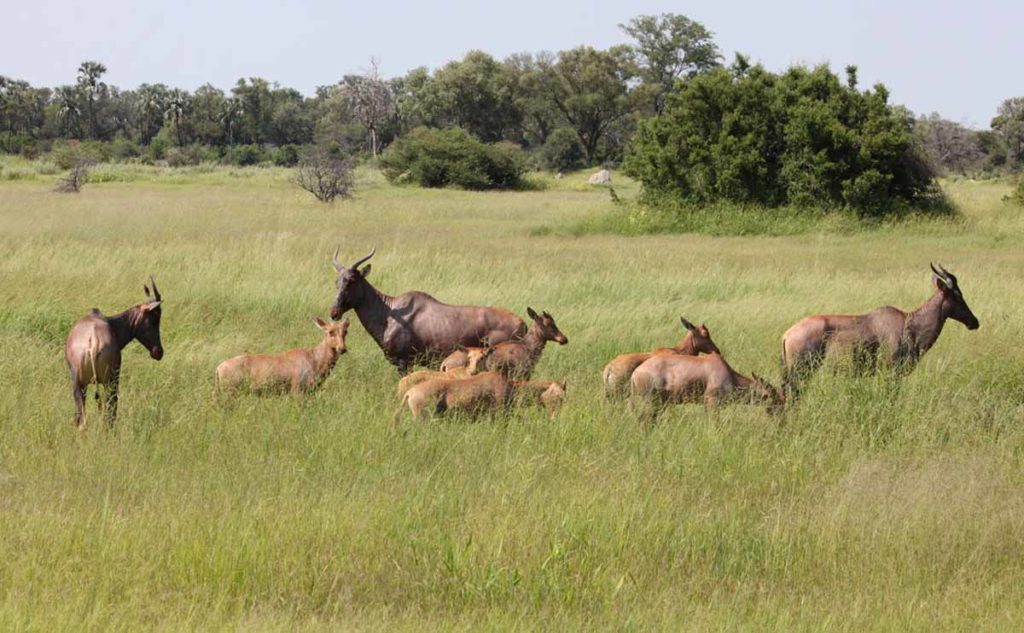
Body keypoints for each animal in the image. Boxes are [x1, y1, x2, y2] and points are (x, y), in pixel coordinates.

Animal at [65, 276, 165, 428]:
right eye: (155, 319)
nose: (158, 352)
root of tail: (93, 341)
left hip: (83, 384)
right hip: (109, 382)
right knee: (108, 411)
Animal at [214, 315, 350, 393]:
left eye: (345, 331)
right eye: (330, 331)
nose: (342, 349)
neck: (312, 358)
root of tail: (219, 368)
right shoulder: (296, 390)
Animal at [778, 262, 978, 399]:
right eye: (957, 295)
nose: (974, 322)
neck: (909, 324)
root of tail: (787, 335)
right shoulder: (890, 371)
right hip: (801, 371)